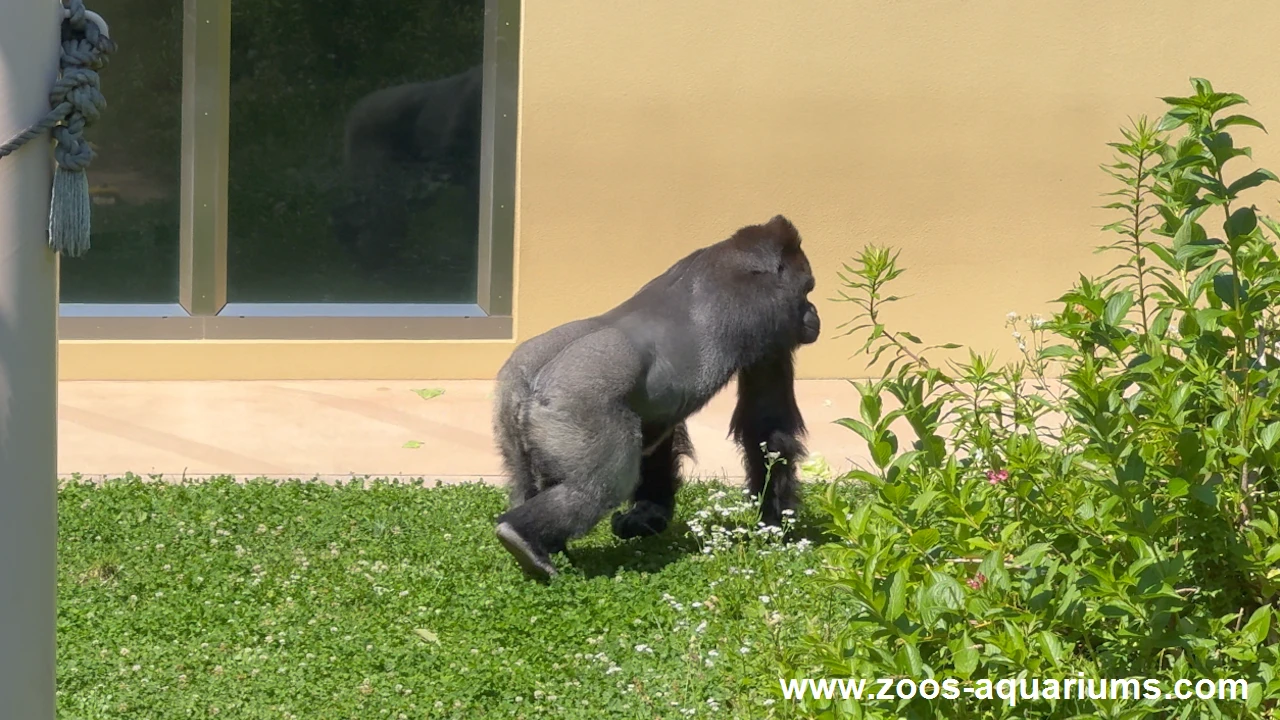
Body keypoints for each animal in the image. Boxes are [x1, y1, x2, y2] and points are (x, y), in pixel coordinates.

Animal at [488, 213, 819, 576]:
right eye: (808, 290)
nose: (814, 315)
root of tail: (531, 382)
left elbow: (661, 435)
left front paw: (646, 515)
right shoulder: (771, 315)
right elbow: (766, 427)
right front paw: (774, 522)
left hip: (508, 408)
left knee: (527, 481)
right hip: (577, 406)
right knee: (597, 487)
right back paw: (522, 537)